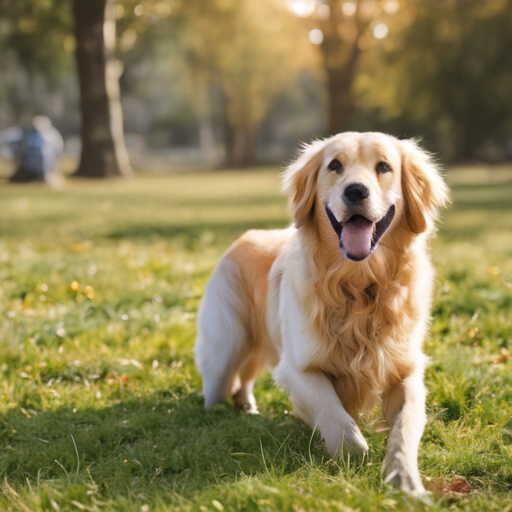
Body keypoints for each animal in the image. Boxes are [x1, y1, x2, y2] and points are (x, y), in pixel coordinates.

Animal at [195, 133, 448, 496]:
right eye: (335, 165)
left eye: (384, 167)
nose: (355, 191)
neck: (358, 286)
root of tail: (244, 236)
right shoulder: (298, 368)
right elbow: (339, 422)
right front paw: (349, 454)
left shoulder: (405, 371)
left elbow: (405, 427)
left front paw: (404, 477)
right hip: (226, 344)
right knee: (217, 387)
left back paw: (248, 409)